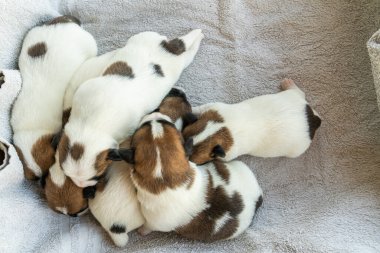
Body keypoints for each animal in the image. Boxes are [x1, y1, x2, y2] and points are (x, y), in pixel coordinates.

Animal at [11, 15, 98, 180]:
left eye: (47, 172)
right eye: (36, 178)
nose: (42, 184)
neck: (31, 127)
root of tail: (67, 22)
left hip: (90, 45)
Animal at [56, 29, 203, 188]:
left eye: (98, 175)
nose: (83, 186)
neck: (89, 124)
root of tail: (166, 47)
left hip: (179, 63)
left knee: (187, 53)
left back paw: (198, 36)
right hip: (144, 38)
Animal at [106, 113, 262, 242]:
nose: (156, 114)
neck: (165, 178)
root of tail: (257, 198)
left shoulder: (153, 222)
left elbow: (148, 227)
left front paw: (142, 231)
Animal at [183, 78, 322, 165]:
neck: (221, 129)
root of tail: (312, 120)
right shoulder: (212, 109)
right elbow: (198, 108)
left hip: (297, 150)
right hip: (293, 97)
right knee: (299, 92)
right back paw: (288, 84)